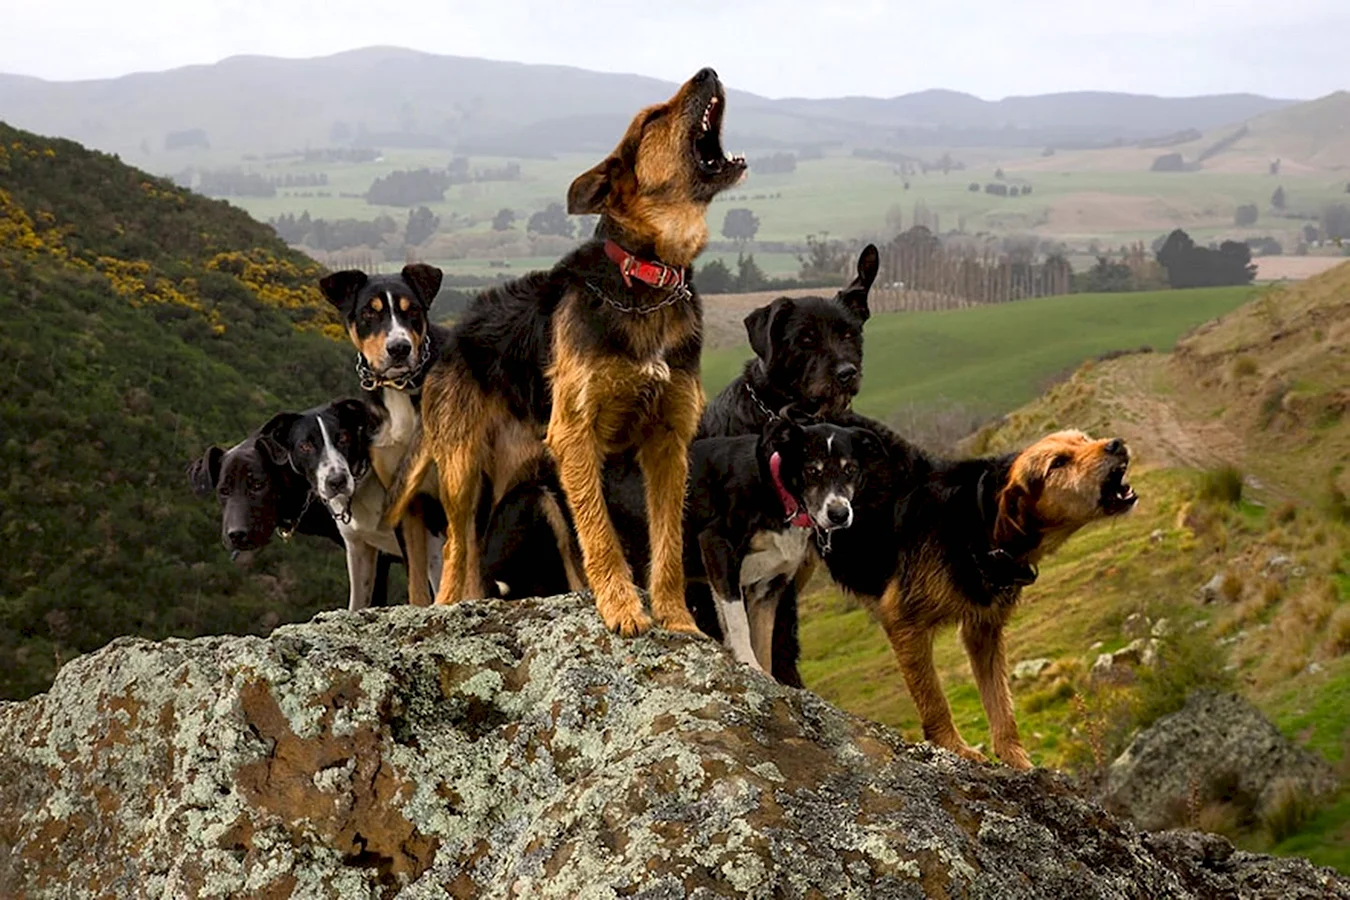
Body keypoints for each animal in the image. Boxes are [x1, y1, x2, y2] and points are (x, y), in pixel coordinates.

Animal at [383, 68, 750, 634]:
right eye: (653, 118)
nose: (708, 71)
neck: (646, 279)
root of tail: (451, 339)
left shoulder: (668, 442)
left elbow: (666, 542)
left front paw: (676, 618)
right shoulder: (577, 433)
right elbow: (600, 534)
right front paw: (622, 608)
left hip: (527, 479)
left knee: (483, 562)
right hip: (463, 469)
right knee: (456, 554)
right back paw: (446, 609)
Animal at [815, 426, 1134, 771]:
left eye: (1083, 439)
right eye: (1058, 463)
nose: (1116, 444)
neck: (979, 520)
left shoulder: (984, 629)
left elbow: (1000, 703)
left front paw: (1017, 760)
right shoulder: (904, 620)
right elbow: (933, 698)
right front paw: (954, 747)